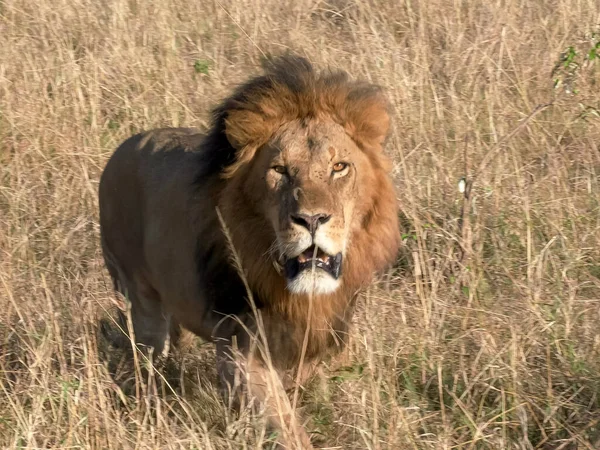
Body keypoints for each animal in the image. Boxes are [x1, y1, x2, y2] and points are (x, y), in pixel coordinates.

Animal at [98, 54, 400, 448]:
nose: (312, 219)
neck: (296, 293)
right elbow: (285, 425)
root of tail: (124, 146)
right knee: (147, 355)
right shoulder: (241, 350)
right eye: (280, 170)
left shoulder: (310, 340)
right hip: (140, 299)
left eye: (339, 167)